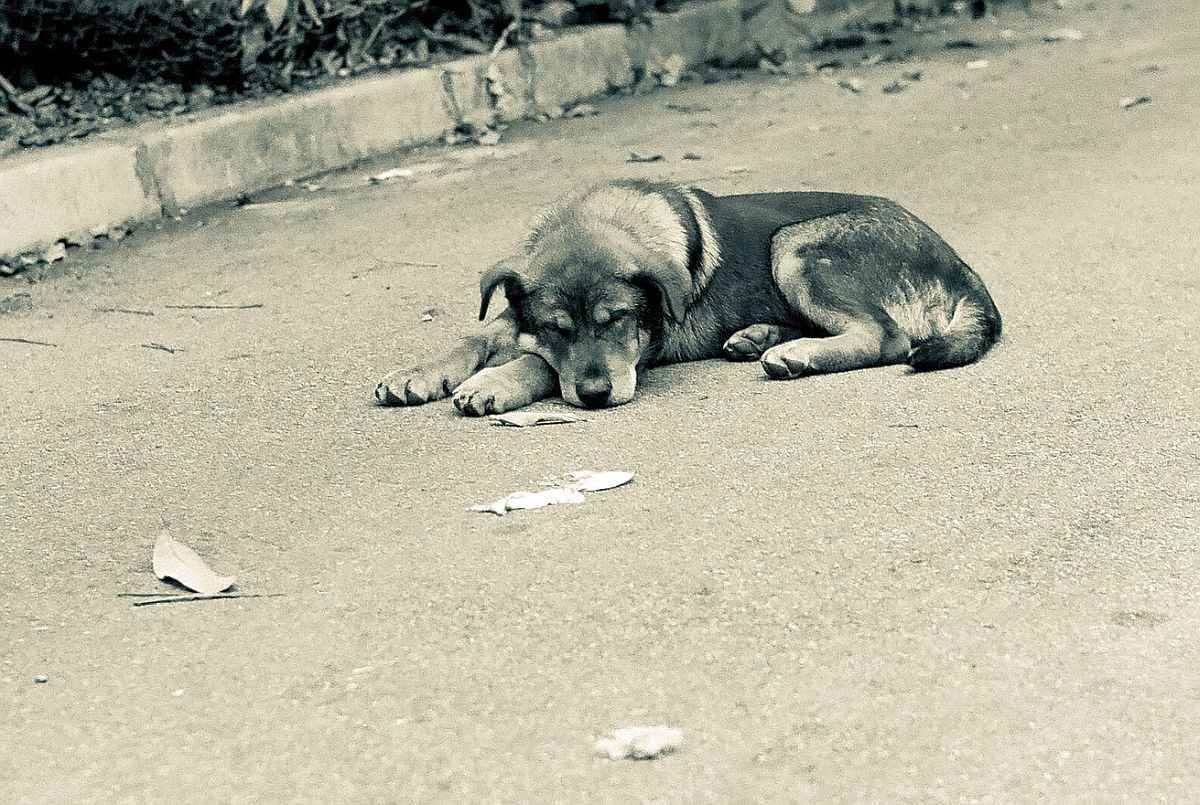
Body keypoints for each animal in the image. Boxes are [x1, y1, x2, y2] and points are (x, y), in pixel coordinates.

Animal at [374, 182, 1003, 415]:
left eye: (618, 320)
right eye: (557, 327)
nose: (597, 398)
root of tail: (960, 263)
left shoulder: (642, 349)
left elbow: (538, 365)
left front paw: (492, 384)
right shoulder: (516, 312)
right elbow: (477, 334)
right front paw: (418, 373)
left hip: (794, 244)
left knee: (887, 336)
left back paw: (794, 355)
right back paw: (760, 337)